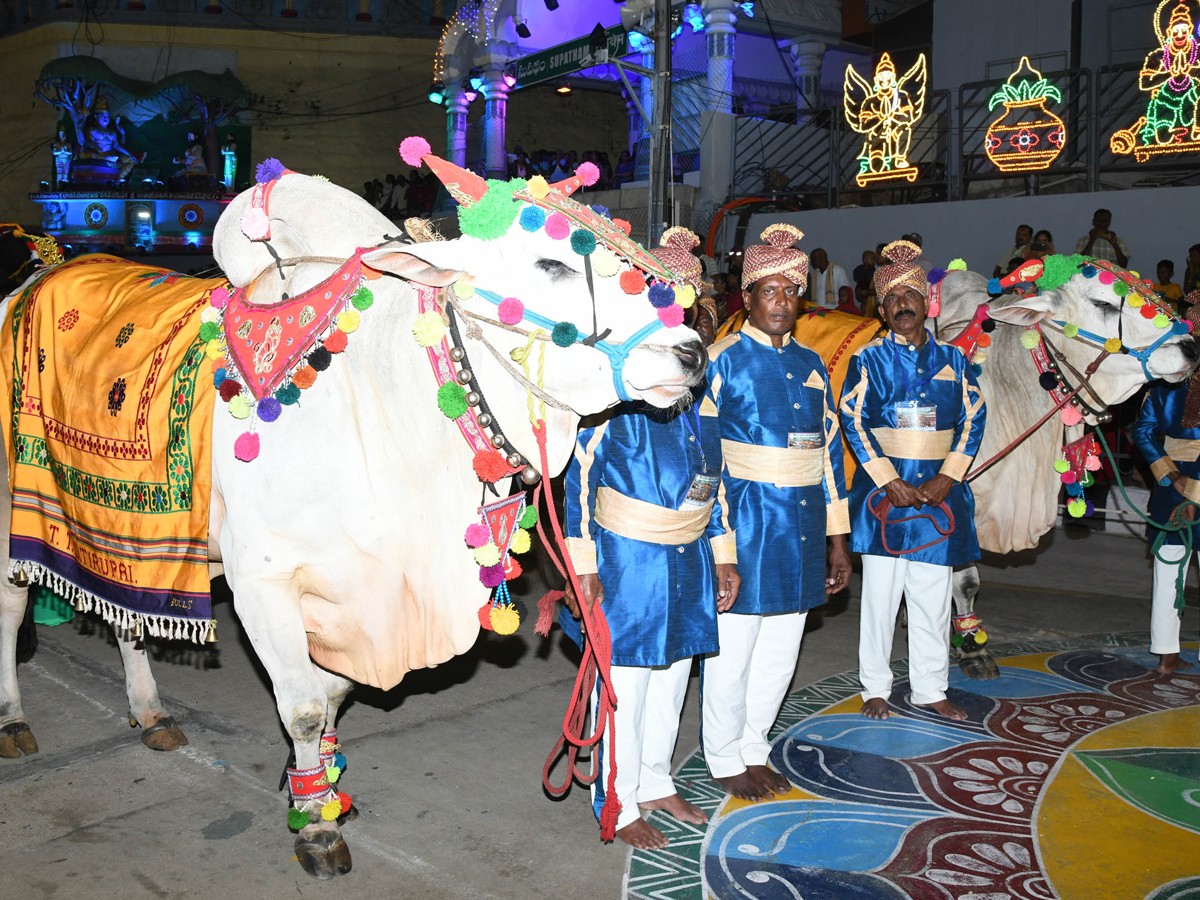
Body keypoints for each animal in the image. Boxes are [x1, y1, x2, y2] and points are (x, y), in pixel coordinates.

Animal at [0, 142, 705, 883]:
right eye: (553, 264)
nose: (691, 352)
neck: (384, 399)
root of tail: (37, 275)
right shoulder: (264, 581)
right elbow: (306, 708)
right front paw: (315, 826)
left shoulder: (354, 591)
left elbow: (334, 694)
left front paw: (321, 793)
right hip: (13, 509)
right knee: (13, 605)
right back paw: (15, 719)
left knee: (128, 611)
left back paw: (150, 711)